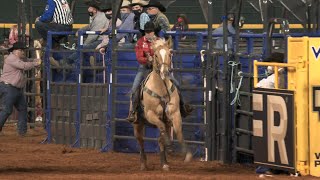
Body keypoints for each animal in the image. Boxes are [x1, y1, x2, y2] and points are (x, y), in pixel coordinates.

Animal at [133, 38, 191, 171]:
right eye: (155, 55)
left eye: (169, 54)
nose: (164, 72)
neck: (161, 89)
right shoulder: (151, 115)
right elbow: (161, 129)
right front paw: (170, 146)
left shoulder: (175, 113)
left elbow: (178, 131)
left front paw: (186, 154)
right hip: (137, 124)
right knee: (141, 141)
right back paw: (143, 164)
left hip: (167, 121)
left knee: (160, 138)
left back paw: (164, 163)